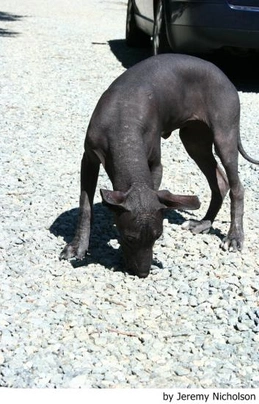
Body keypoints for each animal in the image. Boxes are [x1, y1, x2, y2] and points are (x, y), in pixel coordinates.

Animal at [61, 53, 259, 278]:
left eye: (157, 237)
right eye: (129, 238)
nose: (143, 273)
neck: (123, 124)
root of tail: (223, 74)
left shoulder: (155, 164)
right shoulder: (89, 159)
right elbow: (85, 207)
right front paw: (78, 247)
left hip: (224, 135)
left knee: (236, 187)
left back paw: (234, 236)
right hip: (194, 141)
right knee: (220, 182)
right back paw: (203, 223)